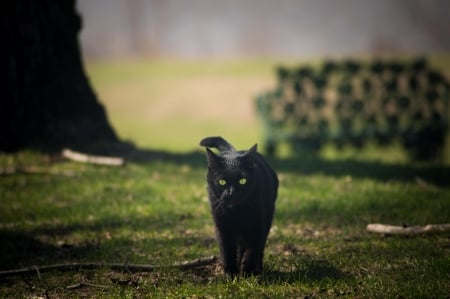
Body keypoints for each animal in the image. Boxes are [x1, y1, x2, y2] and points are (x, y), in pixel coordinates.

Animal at [200, 137, 278, 276]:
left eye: (242, 181)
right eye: (222, 182)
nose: (231, 192)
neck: (236, 212)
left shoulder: (257, 226)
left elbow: (252, 251)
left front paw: (247, 273)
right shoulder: (222, 228)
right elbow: (227, 252)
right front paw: (231, 275)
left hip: (267, 218)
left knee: (259, 247)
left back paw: (258, 268)